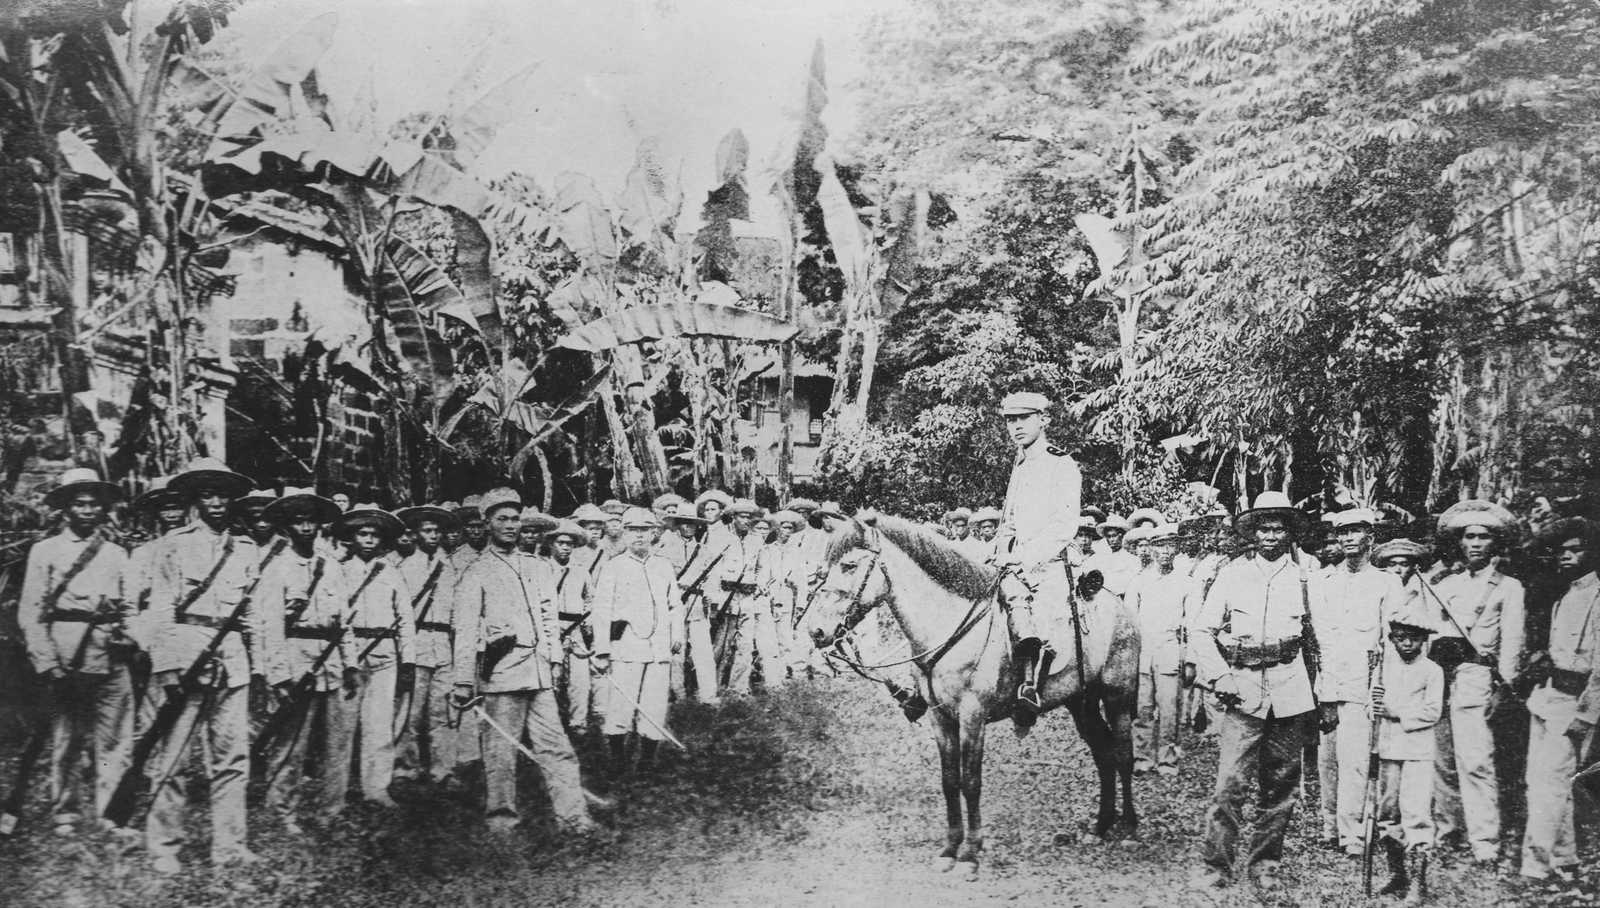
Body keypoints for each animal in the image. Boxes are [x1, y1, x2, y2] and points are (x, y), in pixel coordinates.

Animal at [806, 514, 1145, 876]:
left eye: (849, 565)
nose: (816, 631)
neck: (948, 626)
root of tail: (1121, 606)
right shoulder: (940, 717)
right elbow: (949, 780)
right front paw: (950, 848)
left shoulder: (973, 716)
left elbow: (971, 781)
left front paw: (970, 853)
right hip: (1081, 702)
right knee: (1103, 754)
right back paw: (1100, 827)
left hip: (1117, 698)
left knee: (1123, 755)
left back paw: (1130, 830)